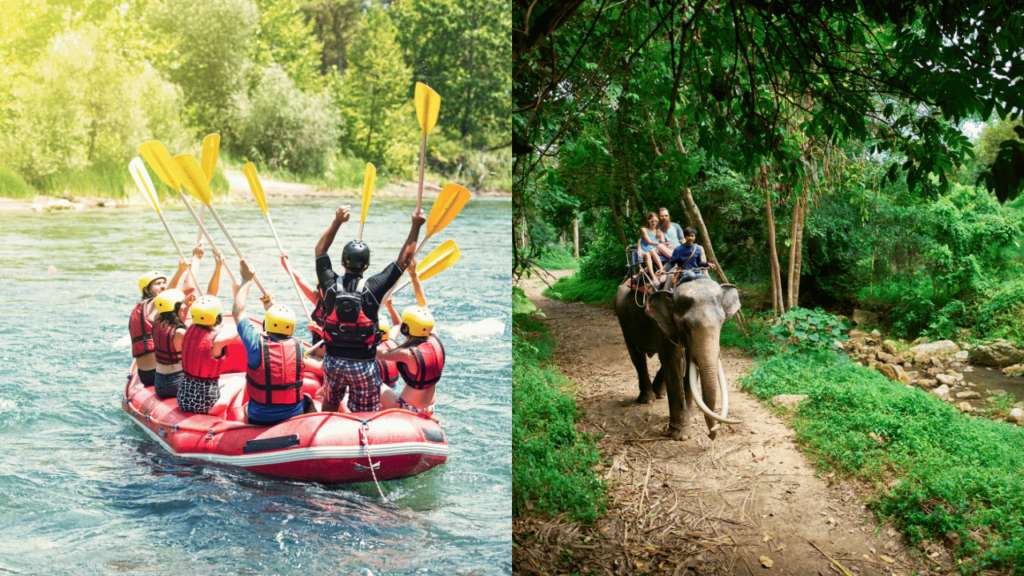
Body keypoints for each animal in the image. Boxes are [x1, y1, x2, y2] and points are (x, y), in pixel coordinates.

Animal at [610, 276, 741, 436]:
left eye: (722, 321)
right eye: (686, 325)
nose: (711, 433)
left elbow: (690, 361)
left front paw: (693, 416)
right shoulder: (660, 323)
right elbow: (672, 360)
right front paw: (682, 434)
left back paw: (659, 393)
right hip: (623, 321)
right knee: (637, 356)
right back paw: (648, 399)